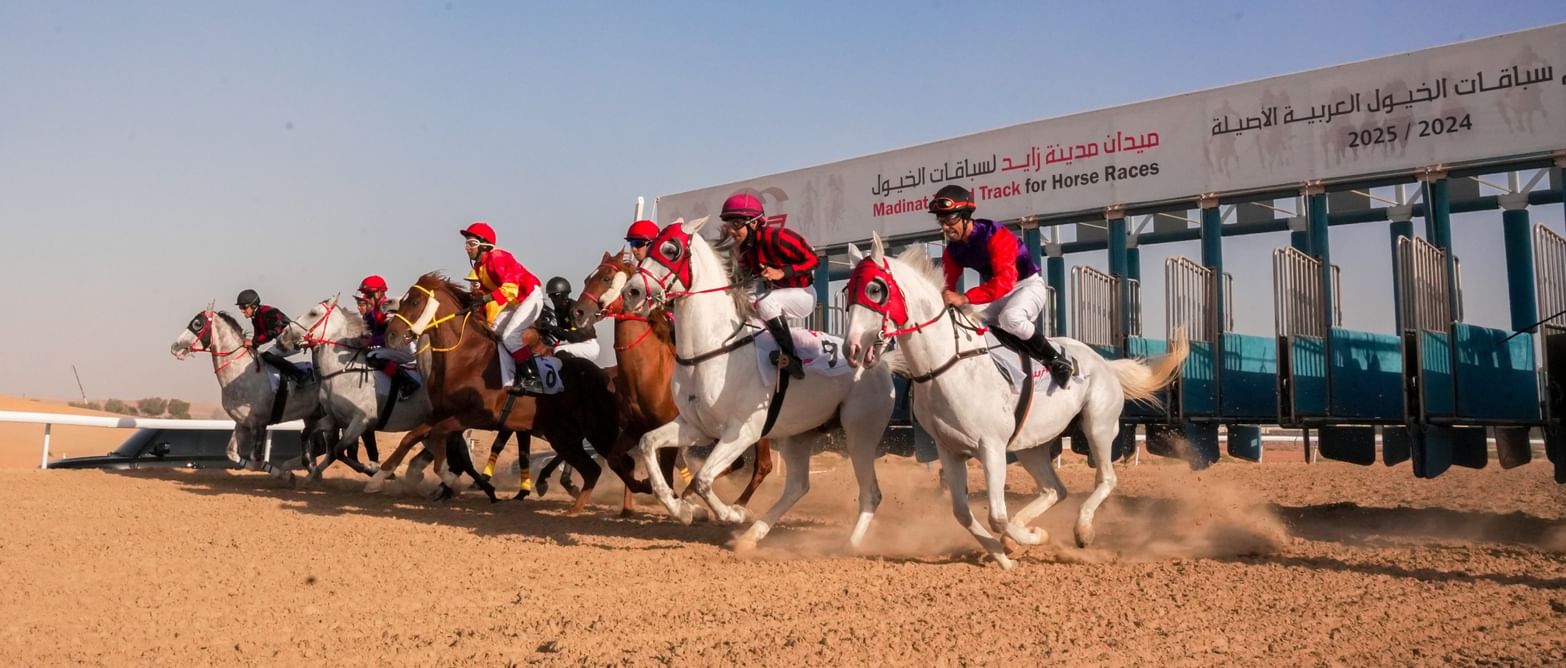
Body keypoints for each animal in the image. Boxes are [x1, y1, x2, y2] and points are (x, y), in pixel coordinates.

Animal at [383, 272, 617, 513]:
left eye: (414, 302)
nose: (390, 335)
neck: (469, 359)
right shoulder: (444, 413)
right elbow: (412, 436)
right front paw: (381, 474)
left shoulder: (480, 416)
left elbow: (442, 437)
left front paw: (452, 481)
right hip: (562, 433)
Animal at [573, 248, 773, 516]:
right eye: (587, 278)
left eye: (606, 278)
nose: (577, 312)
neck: (648, 371)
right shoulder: (635, 428)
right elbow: (616, 461)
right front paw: (645, 486)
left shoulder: (671, 430)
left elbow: (666, 474)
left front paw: (675, 501)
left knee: (762, 466)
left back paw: (735, 507)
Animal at [620, 217, 902, 550]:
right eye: (650, 246)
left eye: (670, 249)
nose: (632, 291)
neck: (712, 349)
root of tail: (881, 363)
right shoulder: (695, 427)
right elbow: (647, 443)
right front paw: (684, 510)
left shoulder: (741, 432)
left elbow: (703, 480)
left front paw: (732, 513)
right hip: (798, 435)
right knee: (797, 486)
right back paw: (752, 536)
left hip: (861, 432)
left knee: (870, 491)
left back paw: (849, 544)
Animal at [845, 234, 1183, 569]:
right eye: (849, 290)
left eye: (875, 289)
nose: (852, 348)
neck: (947, 363)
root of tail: (1104, 363)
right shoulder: (949, 449)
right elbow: (963, 513)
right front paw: (1004, 555)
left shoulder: (991, 446)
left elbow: (996, 516)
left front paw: (1031, 538)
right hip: (1031, 445)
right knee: (1054, 489)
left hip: (1098, 425)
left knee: (1106, 479)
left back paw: (1082, 531)